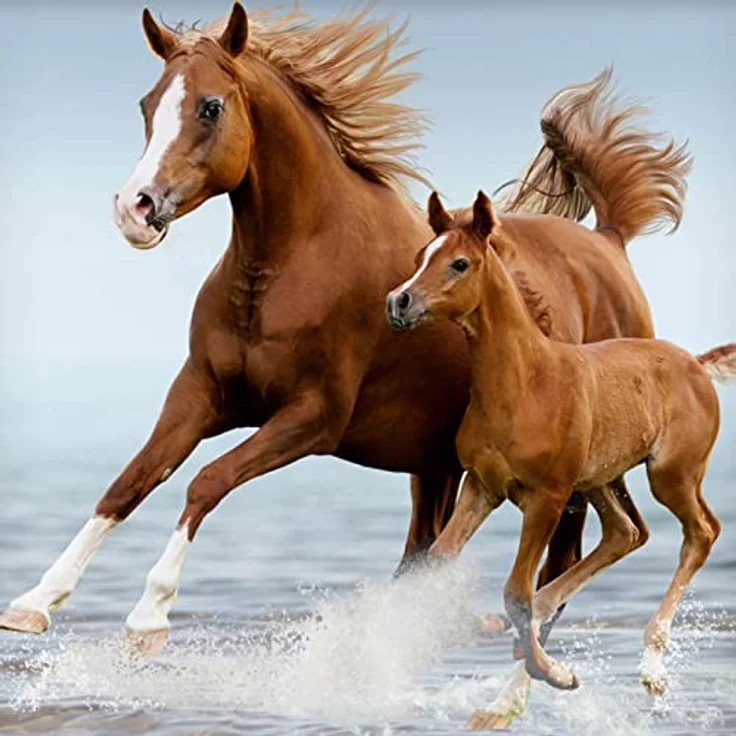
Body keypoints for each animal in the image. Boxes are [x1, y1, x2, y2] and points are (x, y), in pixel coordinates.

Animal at [0, 3, 686, 660]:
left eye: (210, 106)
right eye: (147, 104)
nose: (134, 209)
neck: (288, 266)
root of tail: (609, 241)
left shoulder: (312, 417)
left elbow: (206, 481)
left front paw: (149, 616)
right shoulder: (200, 394)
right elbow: (131, 481)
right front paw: (35, 601)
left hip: (567, 471)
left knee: (563, 556)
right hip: (434, 464)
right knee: (425, 553)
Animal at [386, 190, 733, 730]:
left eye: (459, 263)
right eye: (422, 254)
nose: (399, 302)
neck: (525, 383)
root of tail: (696, 364)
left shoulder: (546, 498)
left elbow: (514, 590)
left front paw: (555, 674)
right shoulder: (481, 487)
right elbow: (442, 559)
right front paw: (522, 648)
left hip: (669, 475)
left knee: (702, 531)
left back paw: (652, 669)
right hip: (598, 481)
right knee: (625, 533)